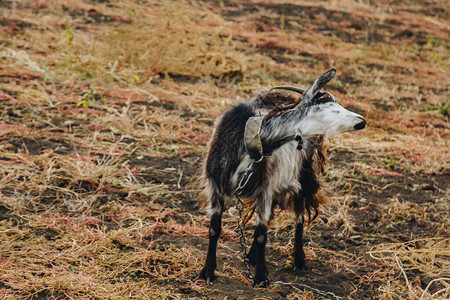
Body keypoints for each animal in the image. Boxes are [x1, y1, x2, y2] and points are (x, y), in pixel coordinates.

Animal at [197, 69, 366, 288]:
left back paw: (298, 259)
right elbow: (214, 229)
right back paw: (252, 255)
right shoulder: (215, 185)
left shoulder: (264, 188)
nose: (361, 121)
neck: (250, 139)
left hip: (303, 174)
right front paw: (207, 271)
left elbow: (261, 234)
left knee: (299, 215)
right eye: (325, 105)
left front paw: (261, 277)